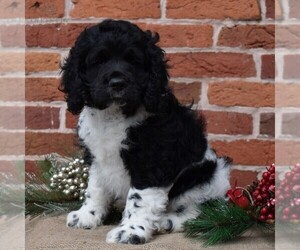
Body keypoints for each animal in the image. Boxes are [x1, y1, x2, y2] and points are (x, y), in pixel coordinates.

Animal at [59, 20, 231, 244]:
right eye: (98, 61)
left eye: (134, 61)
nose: (117, 83)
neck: (114, 115)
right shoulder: (97, 156)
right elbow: (95, 187)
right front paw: (87, 215)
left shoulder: (152, 161)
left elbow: (139, 199)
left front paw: (130, 231)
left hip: (205, 178)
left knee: (205, 212)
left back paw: (168, 221)